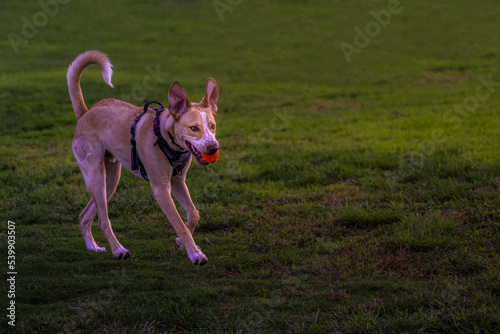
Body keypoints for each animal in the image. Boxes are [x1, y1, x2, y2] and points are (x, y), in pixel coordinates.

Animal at [66, 49, 219, 264]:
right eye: (194, 128)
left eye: (212, 126)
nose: (214, 148)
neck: (165, 137)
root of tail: (85, 113)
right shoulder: (161, 189)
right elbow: (179, 223)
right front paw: (195, 254)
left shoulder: (178, 182)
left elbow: (193, 214)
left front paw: (180, 243)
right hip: (96, 176)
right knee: (103, 221)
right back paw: (118, 250)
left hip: (110, 180)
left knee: (84, 215)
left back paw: (93, 247)